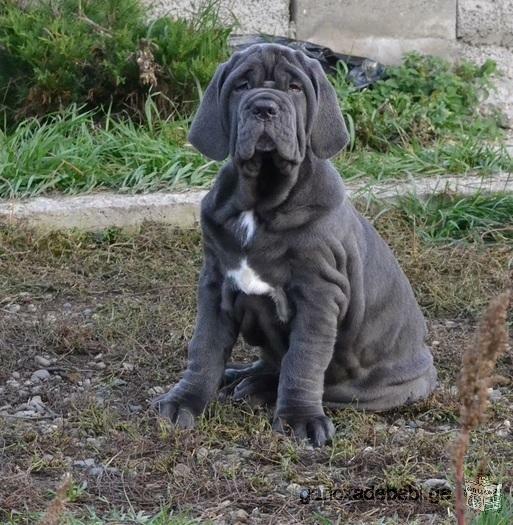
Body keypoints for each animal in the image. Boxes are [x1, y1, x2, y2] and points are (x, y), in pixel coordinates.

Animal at [153, 45, 436, 446]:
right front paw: (184, 400)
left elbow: (303, 361)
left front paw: (299, 418)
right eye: (242, 85)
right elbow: (204, 348)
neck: (261, 200)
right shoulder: (215, 283)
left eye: (295, 88)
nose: (264, 107)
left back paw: (257, 387)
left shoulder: (319, 295)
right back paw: (241, 377)